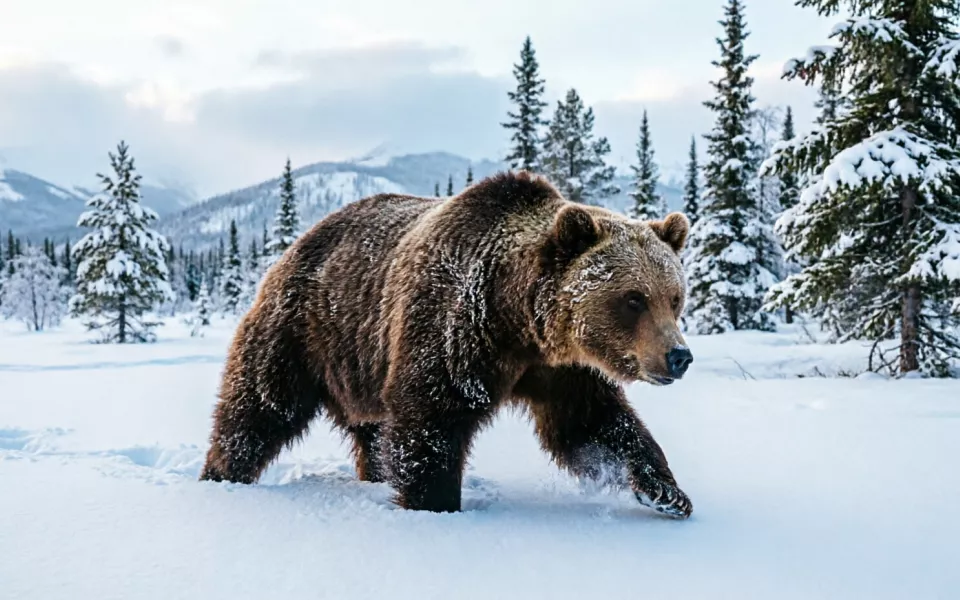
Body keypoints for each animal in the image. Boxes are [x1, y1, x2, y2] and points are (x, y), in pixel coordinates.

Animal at [199, 170, 694, 518]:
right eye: (633, 299)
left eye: (674, 297)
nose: (679, 356)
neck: (517, 320)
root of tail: (295, 245)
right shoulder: (454, 329)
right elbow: (431, 418)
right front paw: (435, 504)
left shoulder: (561, 368)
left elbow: (593, 425)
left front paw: (668, 492)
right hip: (303, 332)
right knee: (259, 407)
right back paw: (222, 474)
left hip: (361, 363)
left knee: (372, 431)